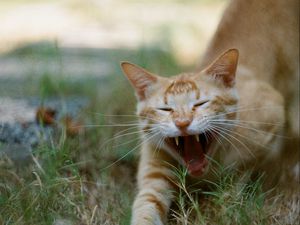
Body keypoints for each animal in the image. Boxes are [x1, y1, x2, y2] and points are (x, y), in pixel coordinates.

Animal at [119, 0, 298, 224]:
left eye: (201, 103)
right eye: (166, 109)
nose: (182, 123)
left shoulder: (271, 114)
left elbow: (238, 176)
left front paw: (226, 199)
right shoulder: (154, 174)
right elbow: (146, 206)